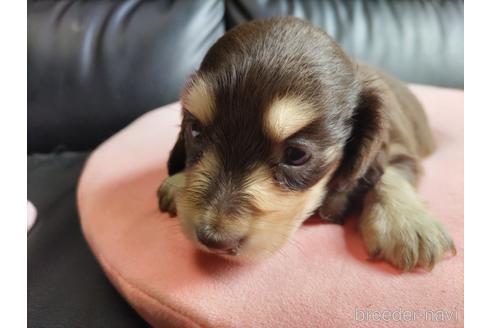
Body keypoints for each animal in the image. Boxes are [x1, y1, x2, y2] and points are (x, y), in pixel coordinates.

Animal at [157, 16, 454, 270]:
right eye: (196, 130)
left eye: (296, 155)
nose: (214, 240)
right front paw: (178, 181)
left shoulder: (400, 150)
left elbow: (387, 174)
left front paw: (405, 223)